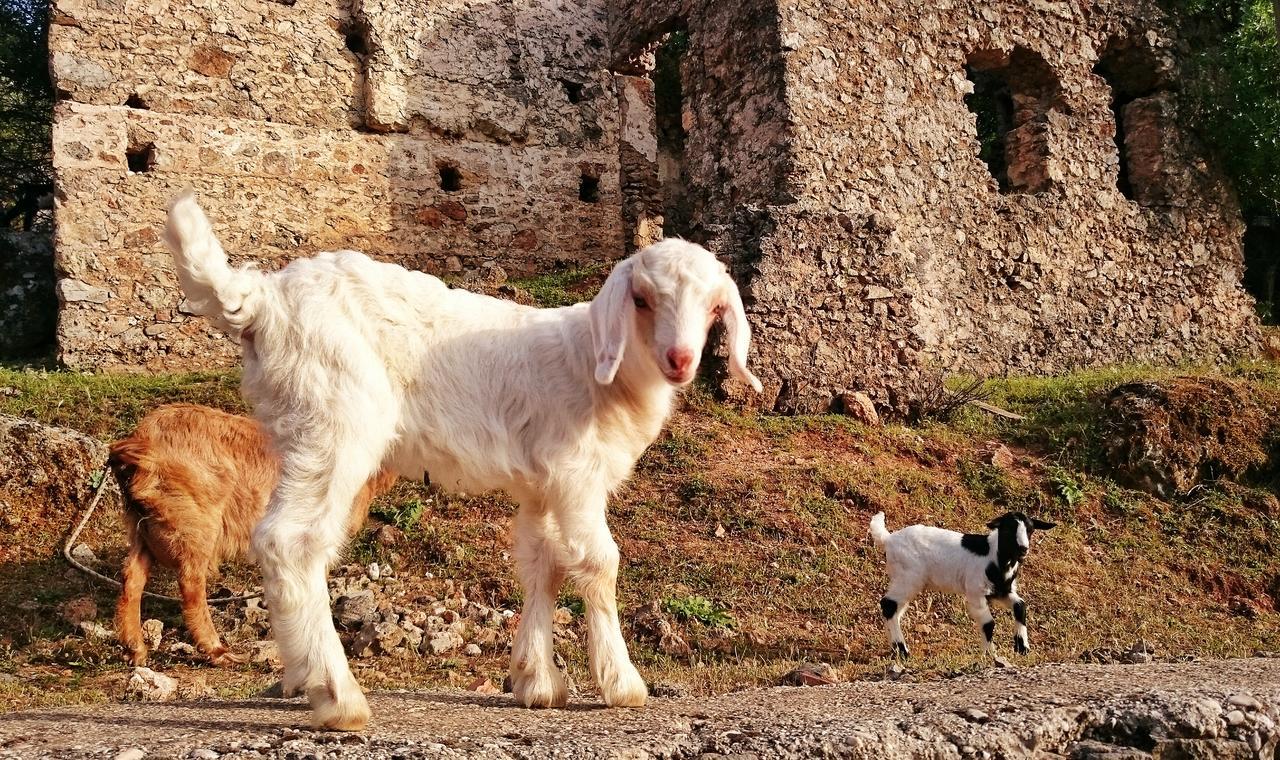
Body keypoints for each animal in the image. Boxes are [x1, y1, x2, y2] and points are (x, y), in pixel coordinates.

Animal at [110, 401, 394, 665]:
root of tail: (143, 443)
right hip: (196, 525)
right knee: (191, 584)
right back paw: (217, 650)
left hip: (142, 528)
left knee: (132, 579)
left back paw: (135, 649)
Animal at [160, 189, 757, 726]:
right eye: (642, 299)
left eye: (714, 306)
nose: (680, 359)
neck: (596, 365)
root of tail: (264, 298)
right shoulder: (576, 474)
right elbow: (597, 563)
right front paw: (621, 684)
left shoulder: (542, 485)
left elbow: (542, 565)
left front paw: (537, 682)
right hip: (333, 420)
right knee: (291, 541)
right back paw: (337, 697)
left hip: (300, 426)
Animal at [865, 509, 1054, 655]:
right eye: (1008, 530)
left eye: (1030, 530)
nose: (1023, 549)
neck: (995, 558)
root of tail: (888, 539)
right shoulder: (976, 593)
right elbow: (988, 623)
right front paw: (989, 654)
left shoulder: (1002, 592)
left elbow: (1020, 606)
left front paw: (1022, 647)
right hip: (908, 578)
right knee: (888, 604)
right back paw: (902, 651)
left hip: (905, 580)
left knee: (895, 611)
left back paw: (895, 649)